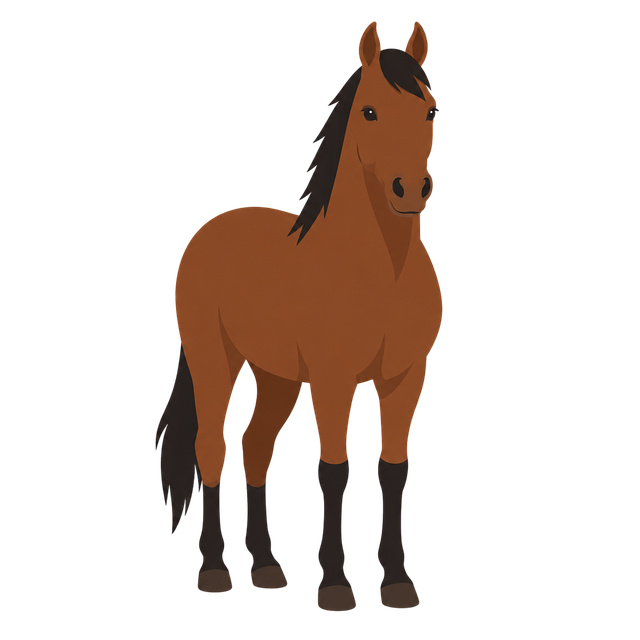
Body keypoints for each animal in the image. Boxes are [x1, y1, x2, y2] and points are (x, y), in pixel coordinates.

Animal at [155, 19, 444, 611]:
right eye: (369, 111)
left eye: (429, 112)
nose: (410, 190)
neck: (378, 271)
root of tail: (207, 231)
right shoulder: (333, 380)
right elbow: (333, 469)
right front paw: (334, 587)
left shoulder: (404, 380)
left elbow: (393, 470)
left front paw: (399, 585)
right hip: (214, 363)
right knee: (210, 449)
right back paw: (215, 574)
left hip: (278, 376)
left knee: (255, 447)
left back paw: (268, 570)